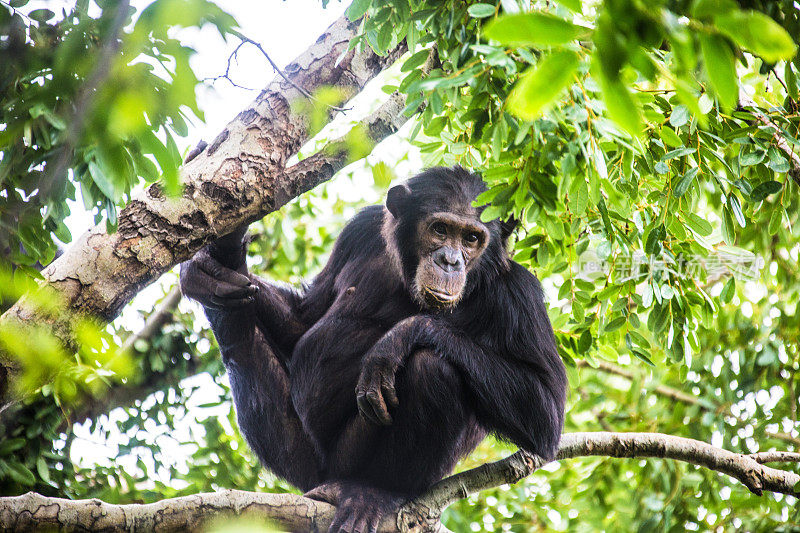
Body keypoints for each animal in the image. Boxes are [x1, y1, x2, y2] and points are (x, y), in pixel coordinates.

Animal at [181, 166, 568, 532]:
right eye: (440, 230)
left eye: (472, 238)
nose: (450, 261)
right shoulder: (359, 230)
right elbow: (303, 322)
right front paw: (208, 272)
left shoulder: (519, 294)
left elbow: (544, 408)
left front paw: (400, 337)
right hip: (302, 462)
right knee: (241, 339)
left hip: (351, 460)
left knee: (433, 368)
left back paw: (374, 493)